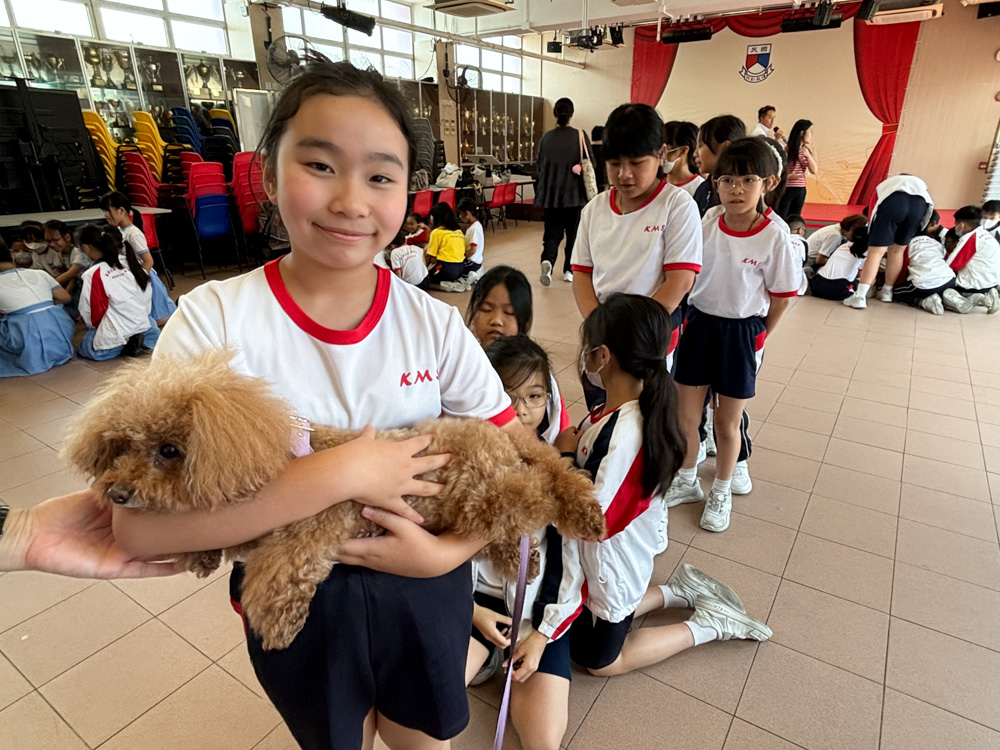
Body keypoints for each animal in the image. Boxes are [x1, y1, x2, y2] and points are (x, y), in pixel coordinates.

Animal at [65, 352, 605, 650]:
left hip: (479, 489)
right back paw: (526, 557)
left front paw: (278, 625)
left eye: (169, 450)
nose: (117, 493)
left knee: (538, 487)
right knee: (517, 509)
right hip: (480, 499)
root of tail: (497, 438)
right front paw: (200, 554)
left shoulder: (310, 531)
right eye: (120, 446)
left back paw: (572, 514)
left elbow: (279, 575)